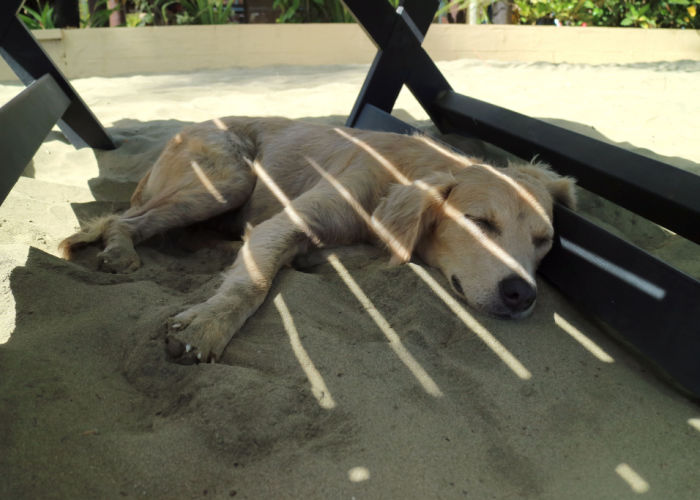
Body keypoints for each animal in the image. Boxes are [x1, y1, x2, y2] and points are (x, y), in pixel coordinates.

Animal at [60, 119, 576, 366]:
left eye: (543, 240)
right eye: (479, 222)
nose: (521, 294)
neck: (397, 172)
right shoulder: (293, 219)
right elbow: (252, 284)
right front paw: (207, 326)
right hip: (228, 178)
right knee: (125, 218)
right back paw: (119, 248)